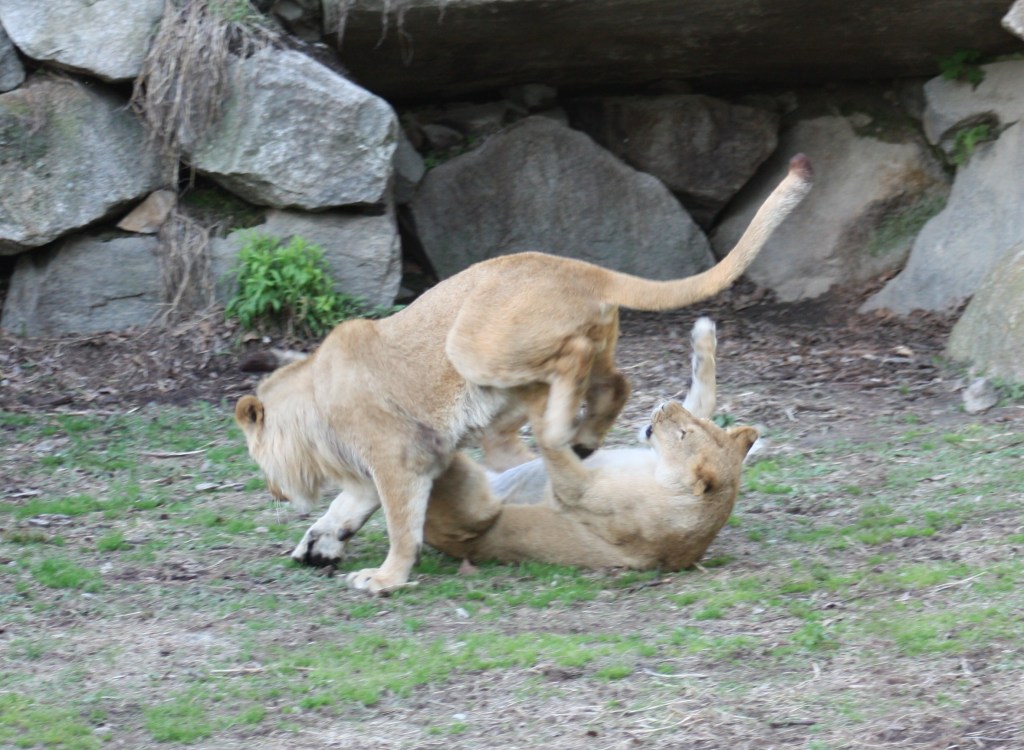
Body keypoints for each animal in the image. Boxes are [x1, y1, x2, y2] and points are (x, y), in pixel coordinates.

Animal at [295, 318, 758, 572]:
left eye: (683, 436)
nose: (662, 406)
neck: (660, 475)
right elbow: (704, 394)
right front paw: (704, 338)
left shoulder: (585, 495)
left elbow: (554, 443)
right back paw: (318, 543)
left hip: (474, 508)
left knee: (423, 473)